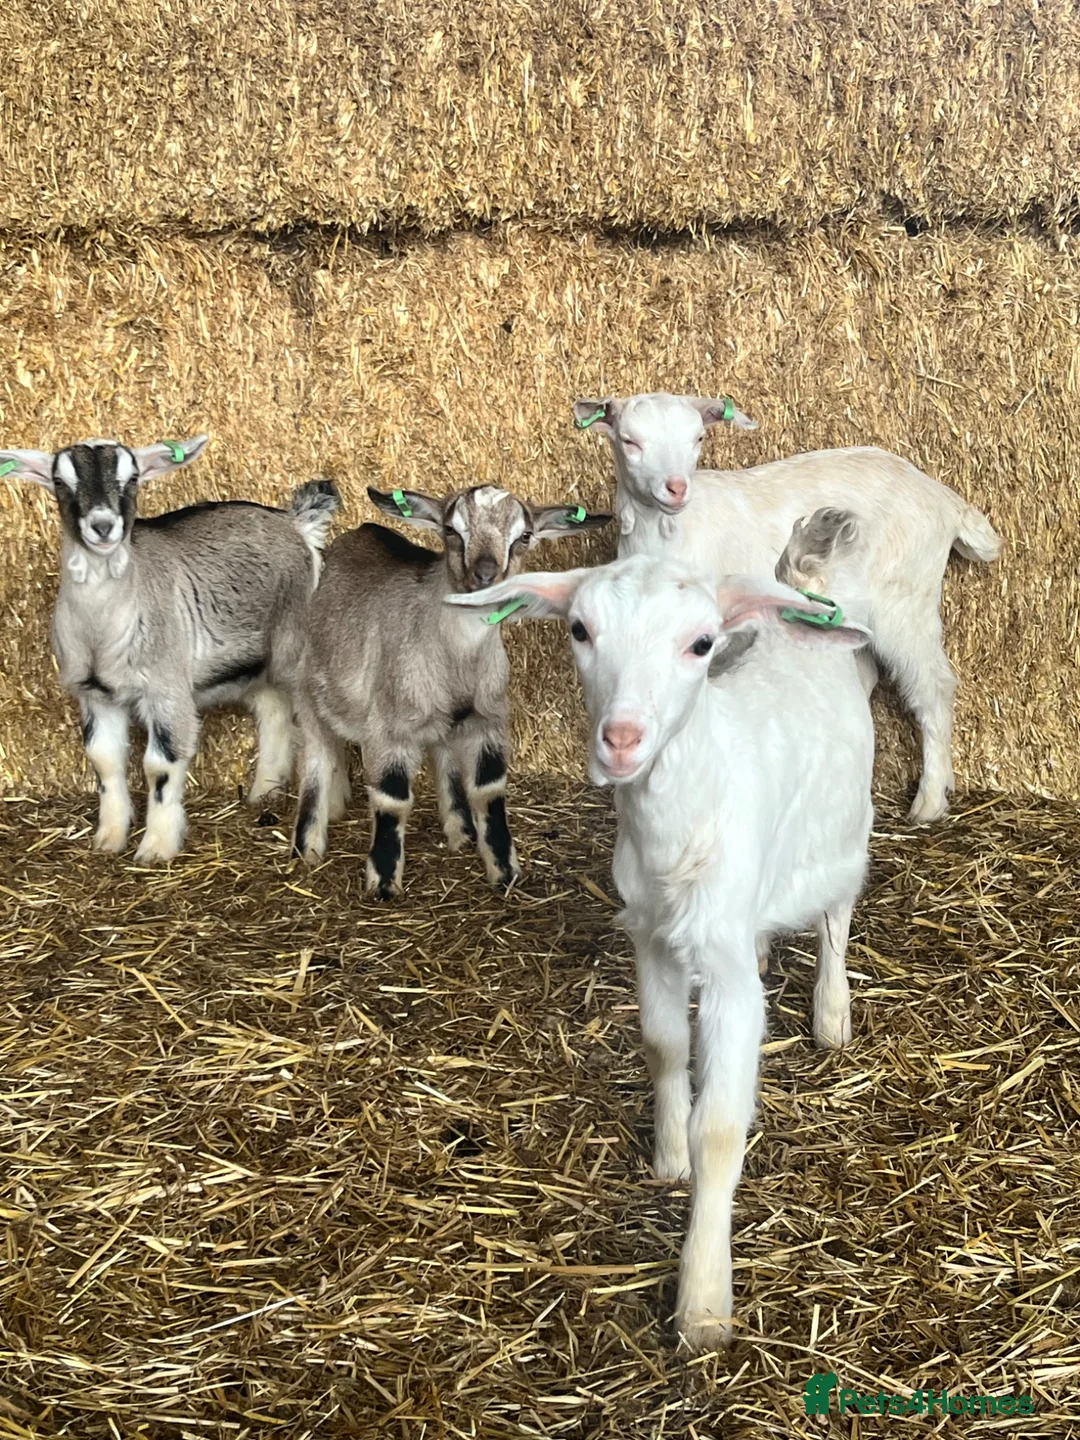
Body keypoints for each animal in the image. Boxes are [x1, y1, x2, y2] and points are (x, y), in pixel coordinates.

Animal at [0, 436, 339, 863]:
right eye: (60, 482)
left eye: (132, 478)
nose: (102, 526)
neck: (103, 628)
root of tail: (297, 524)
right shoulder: (95, 695)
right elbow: (104, 761)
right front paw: (108, 837)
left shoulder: (166, 687)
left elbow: (160, 765)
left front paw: (157, 846)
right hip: (255, 660)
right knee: (275, 710)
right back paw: (266, 791)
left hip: (297, 650)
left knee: (319, 734)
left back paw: (311, 836)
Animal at [292, 483, 611, 897]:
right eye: (451, 530)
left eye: (524, 536)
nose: (486, 574)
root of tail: (359, 532)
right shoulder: (390, 729)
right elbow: (391, 799)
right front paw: (383, 882)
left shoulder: (487, 720)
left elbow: (489, 791)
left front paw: (504, 871)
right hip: (307, 693)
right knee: (316, 757)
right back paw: (308, 846)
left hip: (439, 721)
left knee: (443, 758)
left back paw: (460, 830)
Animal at [448, 553, 874, 1351]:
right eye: (580, 630)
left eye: (701, 643)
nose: (621, 739)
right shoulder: (649, 935)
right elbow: (663, 1046)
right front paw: (668, 1155)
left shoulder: (730, 979)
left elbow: (722, 1129)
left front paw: (703, 1303)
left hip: (849, 828)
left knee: (837, 912)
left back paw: (833, 1013)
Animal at [573, 392, 1001, 823]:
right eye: (630, 441)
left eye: (697, 438)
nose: (676, 488)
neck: (669, 533)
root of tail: (944, 499)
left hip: (905, 603)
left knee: (933, 686)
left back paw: (929, 800)